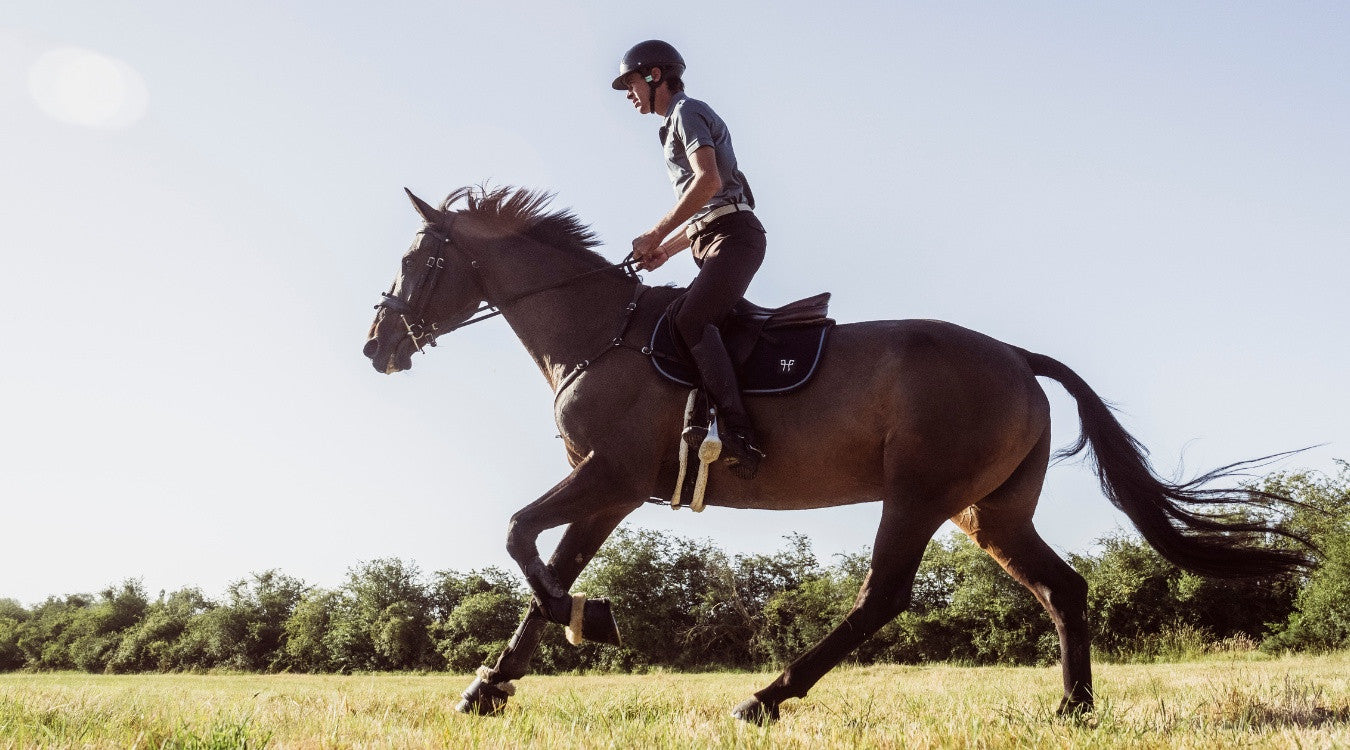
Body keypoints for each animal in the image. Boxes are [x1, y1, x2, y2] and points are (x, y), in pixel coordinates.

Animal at [363, 185, 1311, 724]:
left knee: (881, 596)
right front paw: (493, 685)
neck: (597, 334)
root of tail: (1015, 356)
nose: (377, 346)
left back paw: (766, 698)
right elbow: (542, 573)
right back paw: (1071, 709)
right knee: (1062, 589)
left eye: (419, 260)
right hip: (991, 511)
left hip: (920, 494)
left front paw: (590, 621)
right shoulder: (604, 490)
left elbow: (521, 539)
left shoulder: (611, 477)